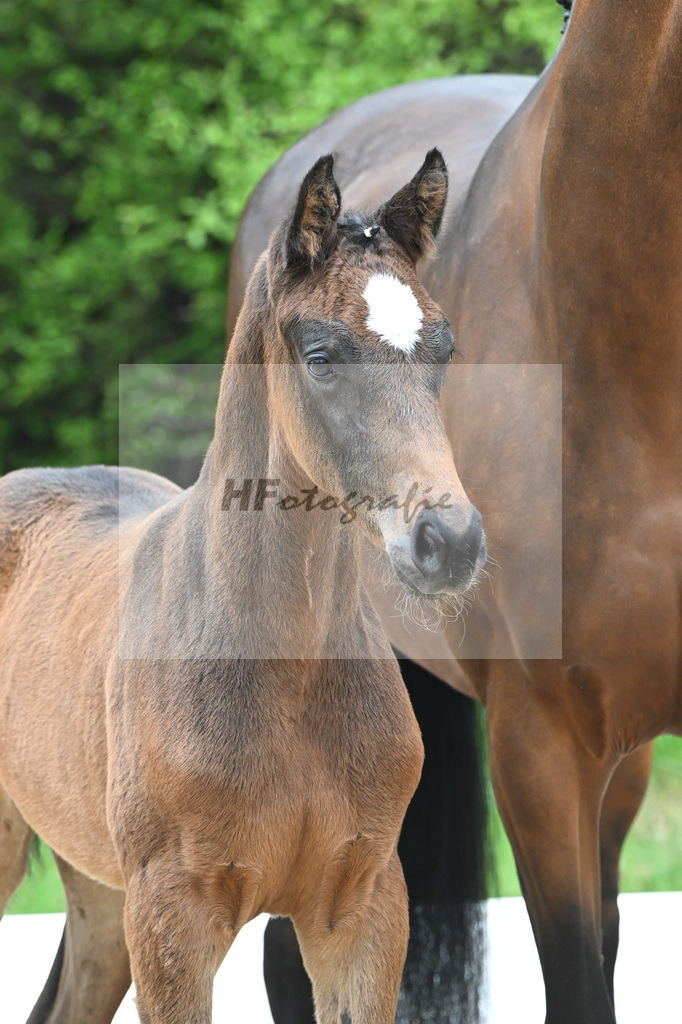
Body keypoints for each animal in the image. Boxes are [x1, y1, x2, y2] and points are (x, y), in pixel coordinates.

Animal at [0, 151, 483, 1024]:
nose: (450, 542)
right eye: (320, 356)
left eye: (443, 349)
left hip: (97, 889)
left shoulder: (362, 909)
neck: (284, 666)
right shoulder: (173, 920)